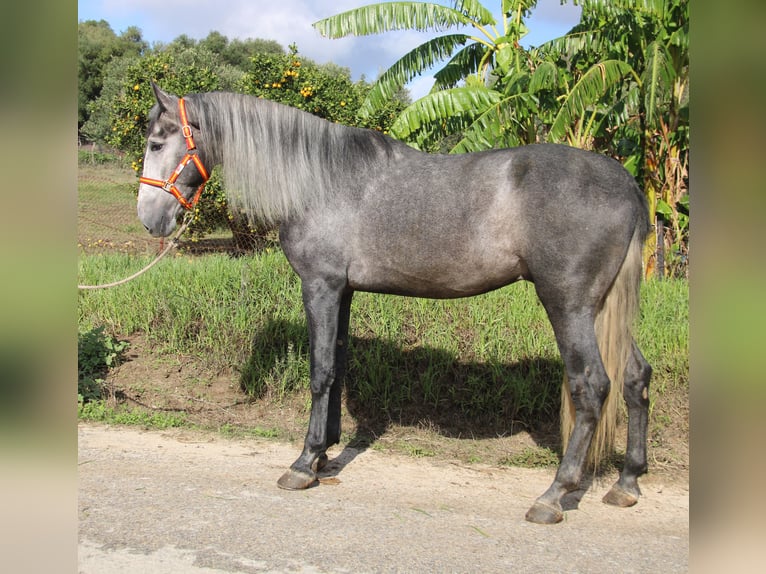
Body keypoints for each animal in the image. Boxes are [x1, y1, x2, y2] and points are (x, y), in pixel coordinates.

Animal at [140, 85, 656, 528]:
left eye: (156, 142)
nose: (150, 220)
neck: (319, 181)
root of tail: (627, 184)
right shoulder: (343, 291)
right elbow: (338, 366)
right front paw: (325, 455)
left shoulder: (320, 286)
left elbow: (320, 371)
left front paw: (304, 464)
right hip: (604, 309)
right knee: (635, 377)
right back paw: (627, 482)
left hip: (568, 305)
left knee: (592, 385)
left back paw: (553, 495)